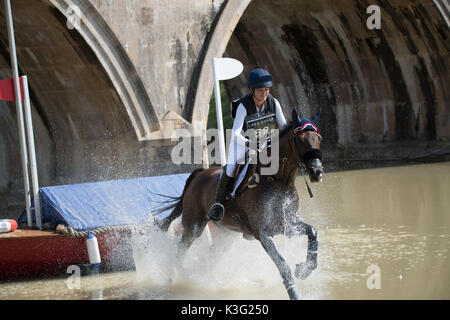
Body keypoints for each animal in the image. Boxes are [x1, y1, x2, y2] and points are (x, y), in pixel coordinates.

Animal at [155, 108, 324, 300]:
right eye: (300, 140)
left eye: (319, 139)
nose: (317, 172)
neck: (277, 182)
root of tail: (200, 174)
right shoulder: (263, 233)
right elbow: (282, 265)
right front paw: (295, 293)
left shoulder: (286, 225)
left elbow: (312, 231)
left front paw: (305, 269)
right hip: (194, 226)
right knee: (180, 250)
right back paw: (175, 278)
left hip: (226, 235)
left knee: (210, 257)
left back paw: (209, 281)